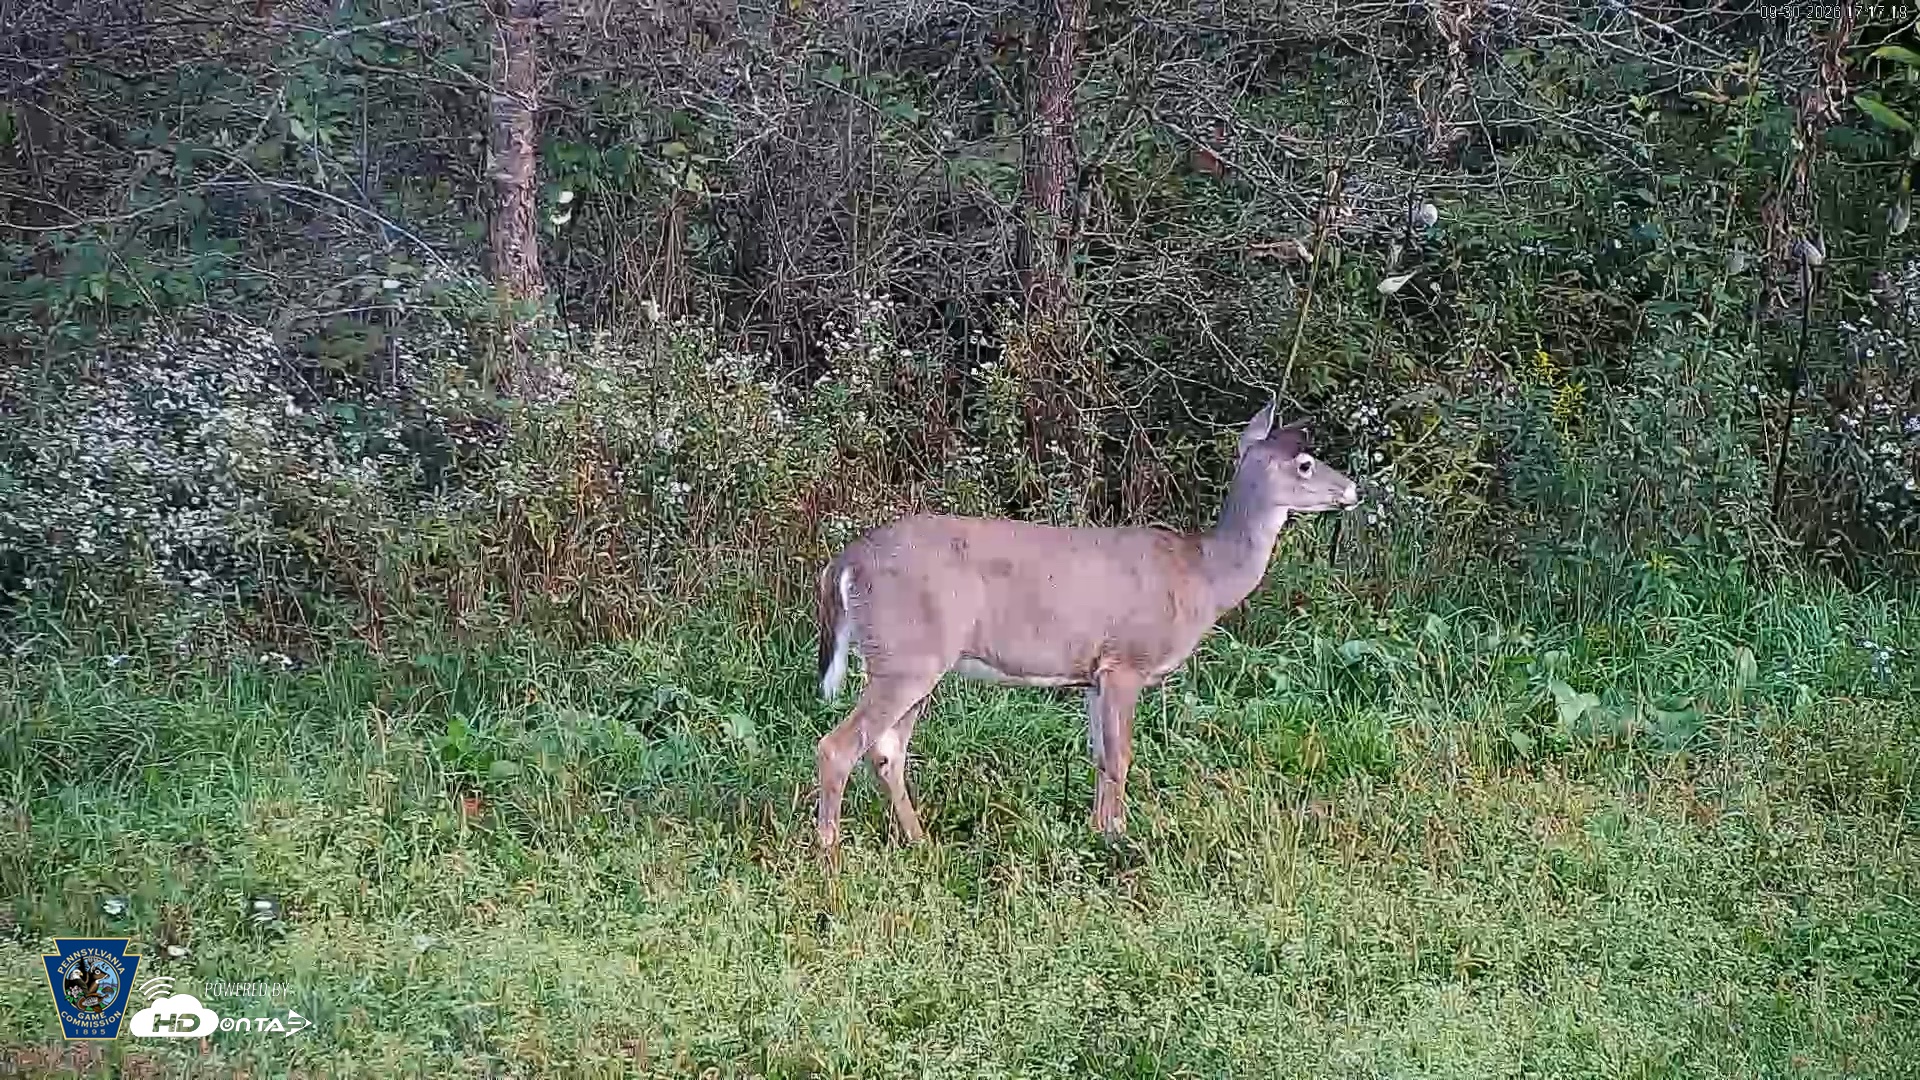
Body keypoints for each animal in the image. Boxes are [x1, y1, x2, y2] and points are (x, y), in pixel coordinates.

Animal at [810, 402, 1358, 853]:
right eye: (1305, 463)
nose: (1354, 489)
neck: (1203, 576)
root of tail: (844, 563)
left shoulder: (1093, 675)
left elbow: (1098, 756)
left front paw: (1098, 832)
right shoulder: (1127, 661)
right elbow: (1121, 757)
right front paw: (1118, 839)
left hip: (911, 659)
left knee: (887, 752)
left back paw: (921, 841)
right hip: (907, 654)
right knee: (839, 746)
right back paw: (831, 858)